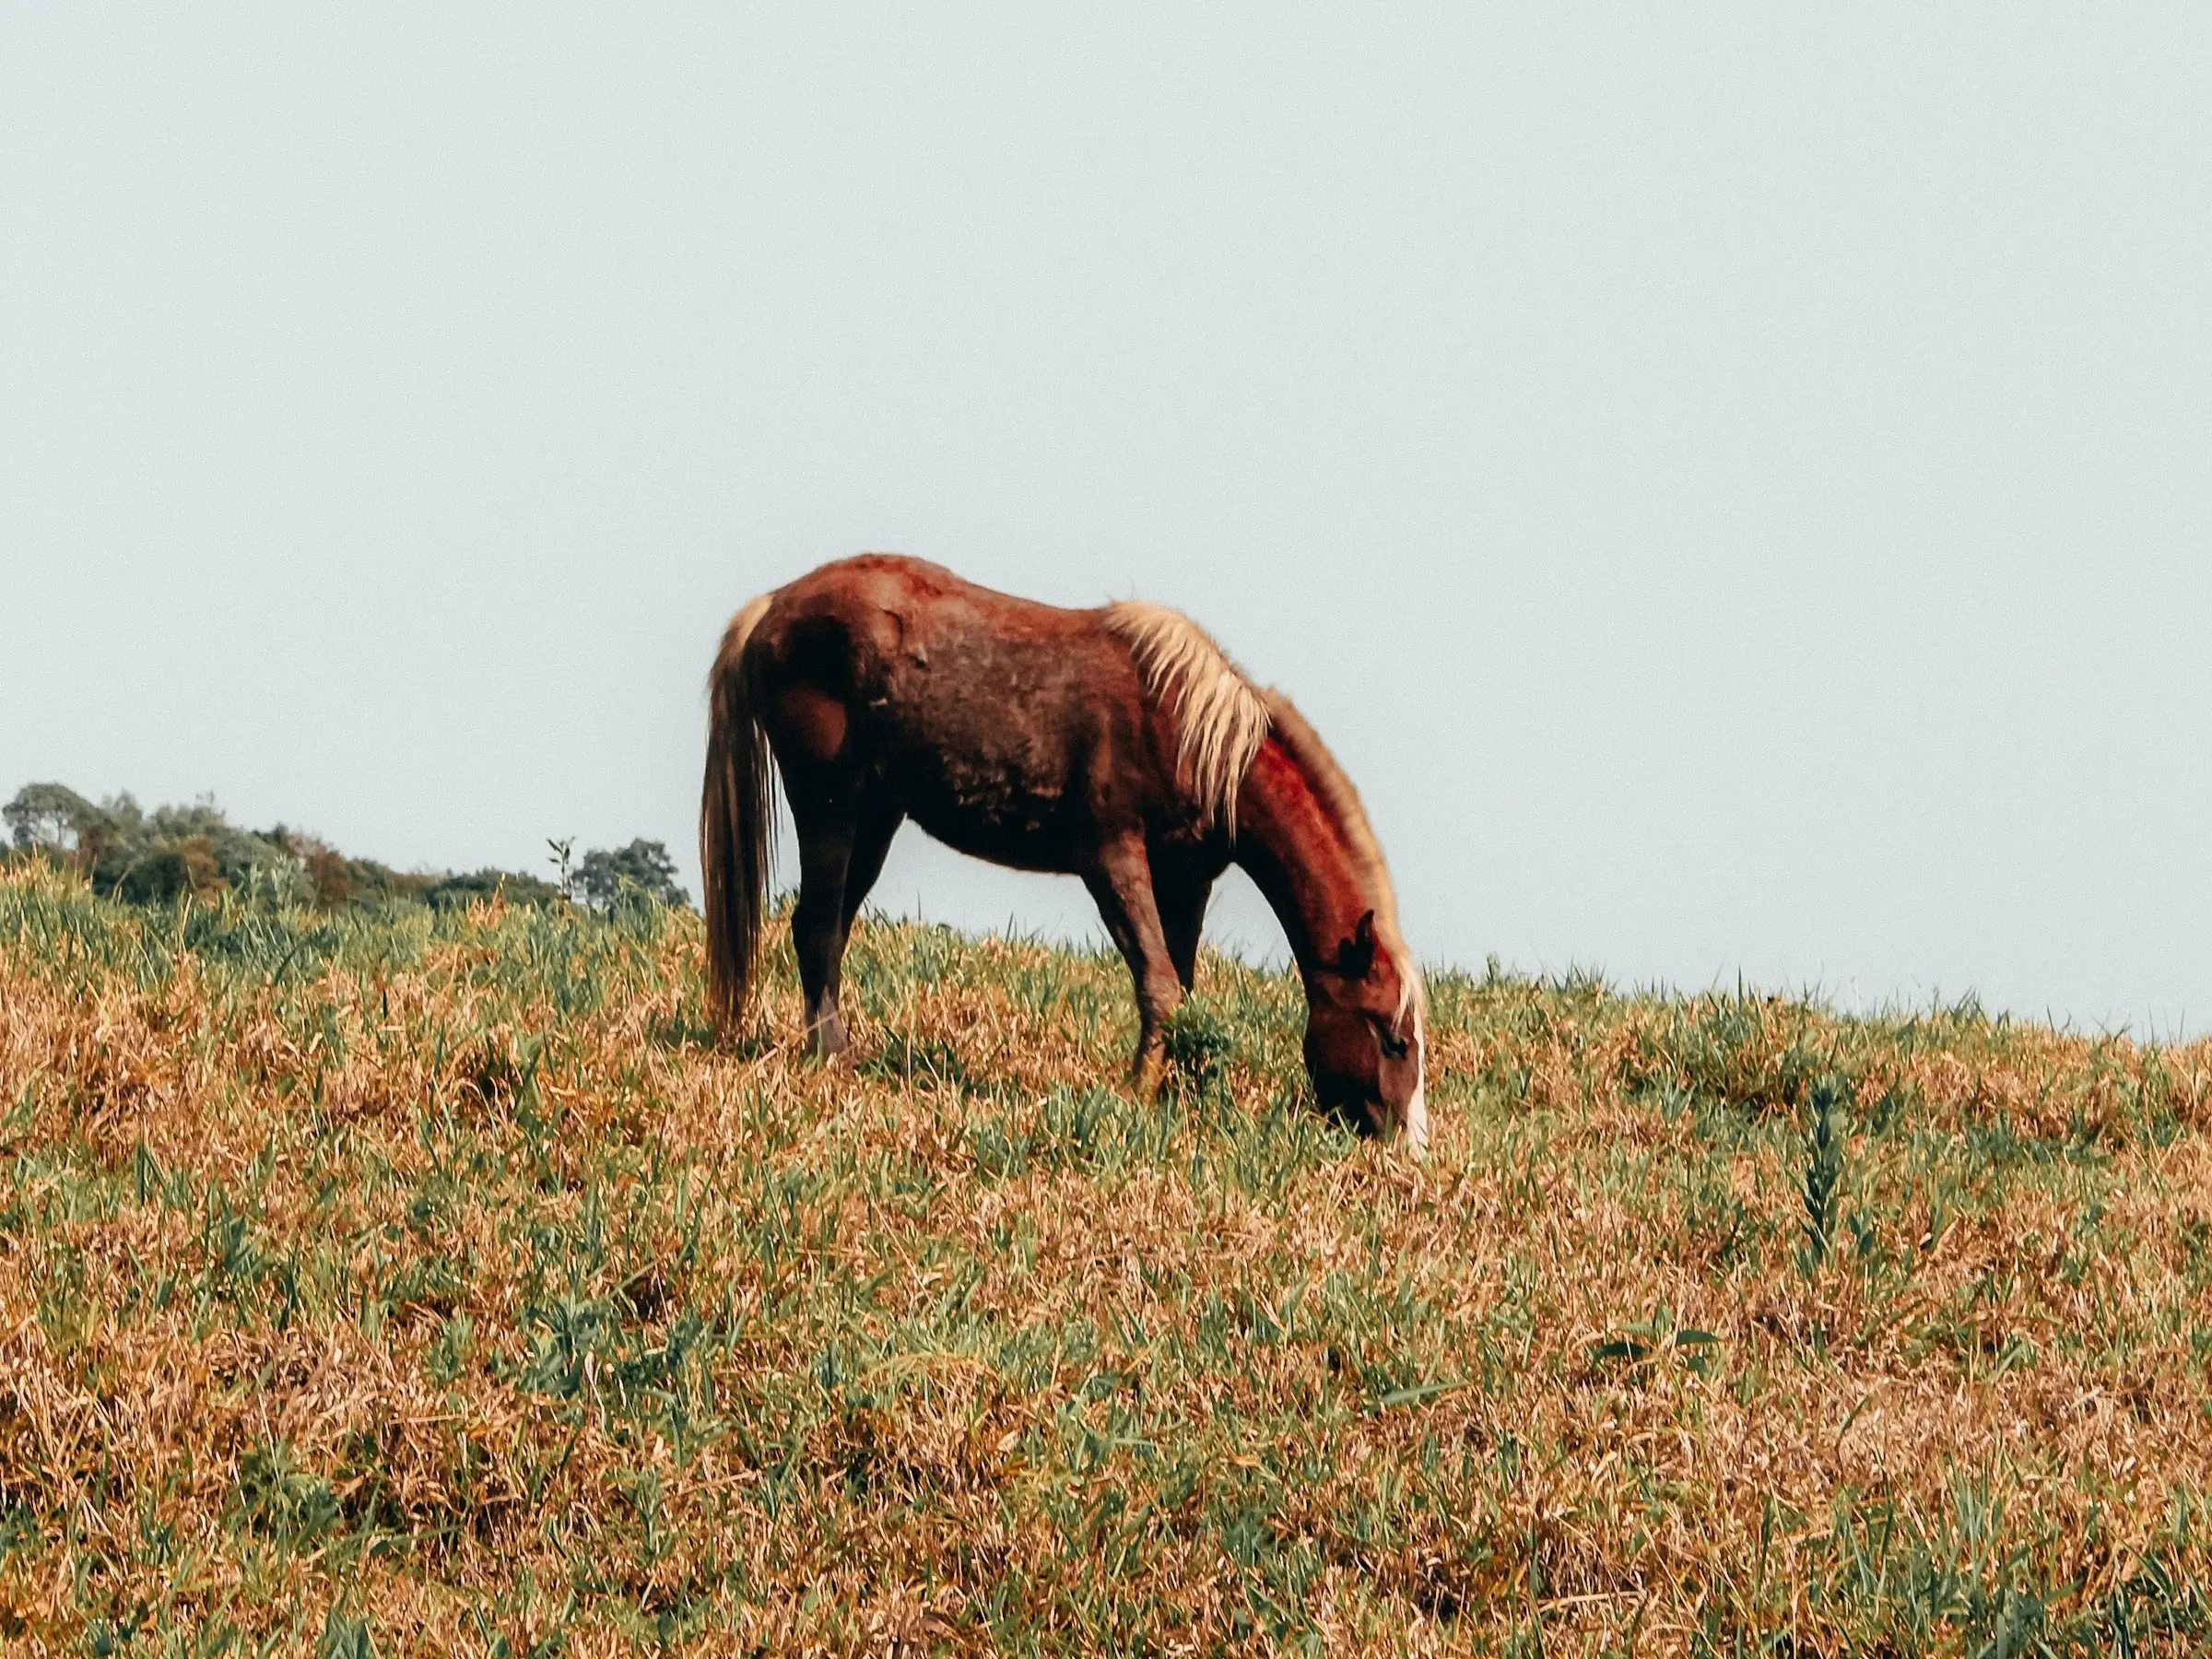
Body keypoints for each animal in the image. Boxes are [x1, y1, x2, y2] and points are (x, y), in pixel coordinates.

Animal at [708, 553, 1433, 1150]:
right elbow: (1157, 982)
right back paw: (829, 1057)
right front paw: (1137, 1095)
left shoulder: (1185, 879)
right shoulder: (1112, 858)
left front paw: (1175, 1089)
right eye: (1392, 1037)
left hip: (877, 818)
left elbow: (1180, 985)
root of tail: (771, 607)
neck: (1190, 734)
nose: (1410, 1144)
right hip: (829, 807)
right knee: (816, 926)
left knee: (828, 929)